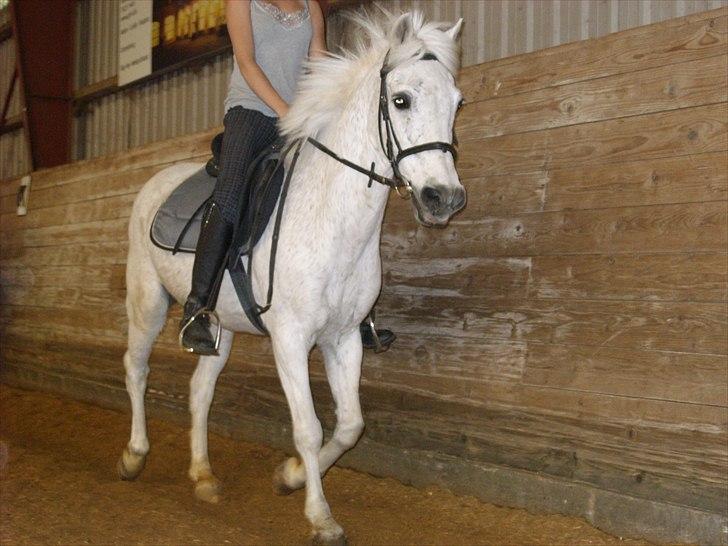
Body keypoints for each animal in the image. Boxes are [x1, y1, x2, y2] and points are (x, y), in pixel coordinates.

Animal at [117, 10, 464, 545]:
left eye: (457, 103)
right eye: (401, 99)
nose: (444, 198)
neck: (331, 218)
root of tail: (156, 181)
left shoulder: (344, 338)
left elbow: (350, 424)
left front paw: (292, 475)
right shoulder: (291, 338)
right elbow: (308, 428)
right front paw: (321, 517)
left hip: (220, 330)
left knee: (200, 390)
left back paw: (203, 476)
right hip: (147, 304)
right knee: (136, 369)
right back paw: (134, 455)